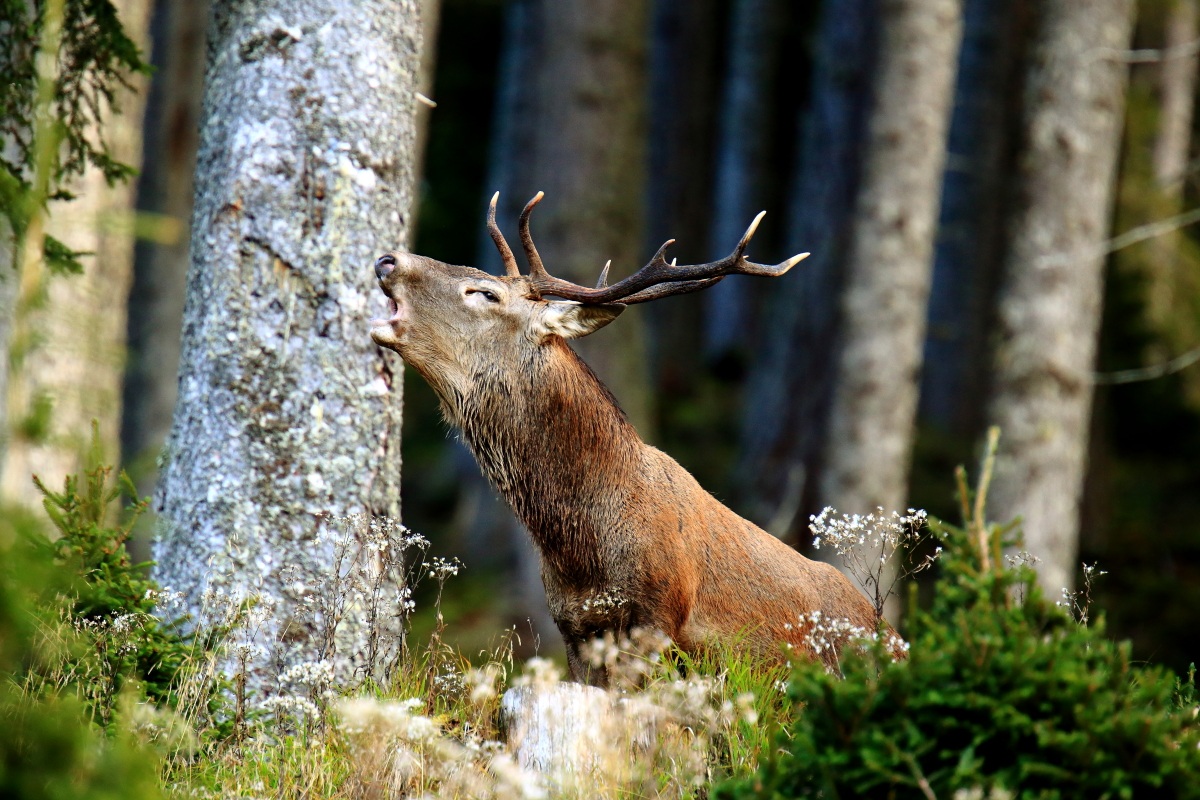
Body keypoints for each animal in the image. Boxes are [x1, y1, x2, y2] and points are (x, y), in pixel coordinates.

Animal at [370, 192, 893, 684]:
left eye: (485, 292)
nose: (388, 259)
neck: (580, 549)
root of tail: (890, 632)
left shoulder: (657, 616)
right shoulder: (574, 628)